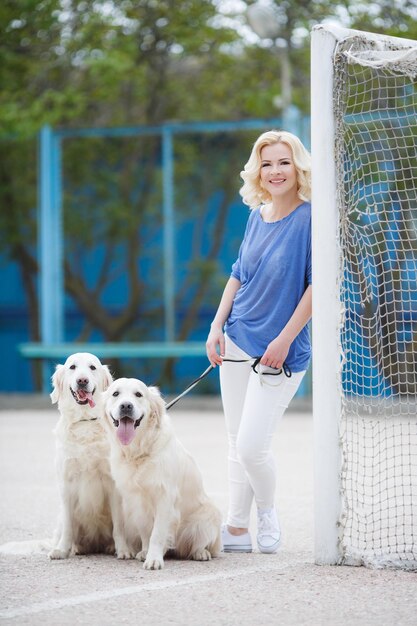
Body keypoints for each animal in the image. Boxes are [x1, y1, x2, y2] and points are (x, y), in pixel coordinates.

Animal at [46, 348, 130, 560]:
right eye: (72, 367)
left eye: (92, 367)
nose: (82, 380)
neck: (85, 421)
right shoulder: (66, 483)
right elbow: (69, 526)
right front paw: (62, 550)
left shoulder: (112, 483)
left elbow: (119, 525)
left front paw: (123, 549)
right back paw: (74, 547)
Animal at [102, 378, 223, 568]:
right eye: (115, 394)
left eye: (138, 394)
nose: (126, 406)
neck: (139, 451)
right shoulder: (136, 500)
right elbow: (146, 531)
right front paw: (145, 552)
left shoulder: (165, 497)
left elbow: (157, 534)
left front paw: (153, 559)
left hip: (209, 515)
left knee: (200, 543)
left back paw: (200, 552)